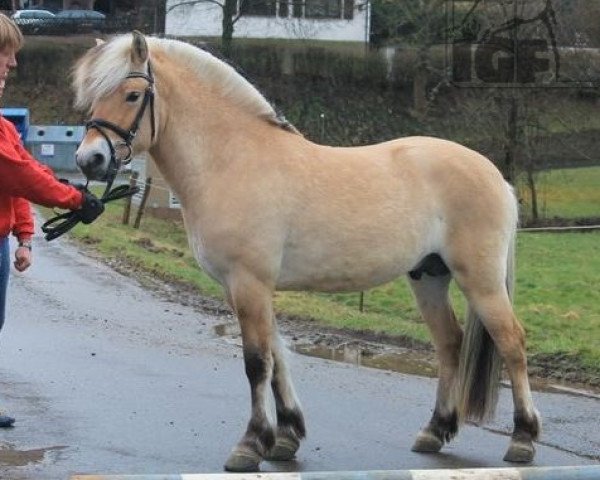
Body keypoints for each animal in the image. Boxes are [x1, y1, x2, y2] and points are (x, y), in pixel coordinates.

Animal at [72, 31, 540, 470]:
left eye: (132, 95)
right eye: (93, 95)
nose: (89, 160)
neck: (233, 160)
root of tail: (496, 175)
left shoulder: (249, 282)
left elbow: (257, 361)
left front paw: (250, 444)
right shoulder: (241, 288)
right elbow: (278, 355)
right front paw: (286, 436)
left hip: (480, 280)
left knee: (512, 342)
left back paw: (523, 439)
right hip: (429, 276)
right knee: (449, 344)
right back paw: (435, 430)